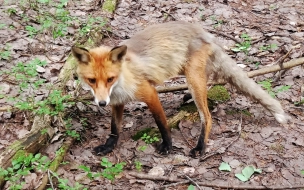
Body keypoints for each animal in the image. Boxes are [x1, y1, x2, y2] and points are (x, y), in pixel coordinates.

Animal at [71, 21, 288, 157]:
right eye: (92, 80)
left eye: (110, 79)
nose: (101, 103)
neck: (122, 78)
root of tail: (204, 32)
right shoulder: (117, 102)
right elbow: (114, 129)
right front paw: (108, 147)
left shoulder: (149, 93)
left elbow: (162, 123)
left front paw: (168, 145)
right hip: (189, 73)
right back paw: (186, 98)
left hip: (193, 78)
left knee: (207, 117)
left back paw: (200, 147)